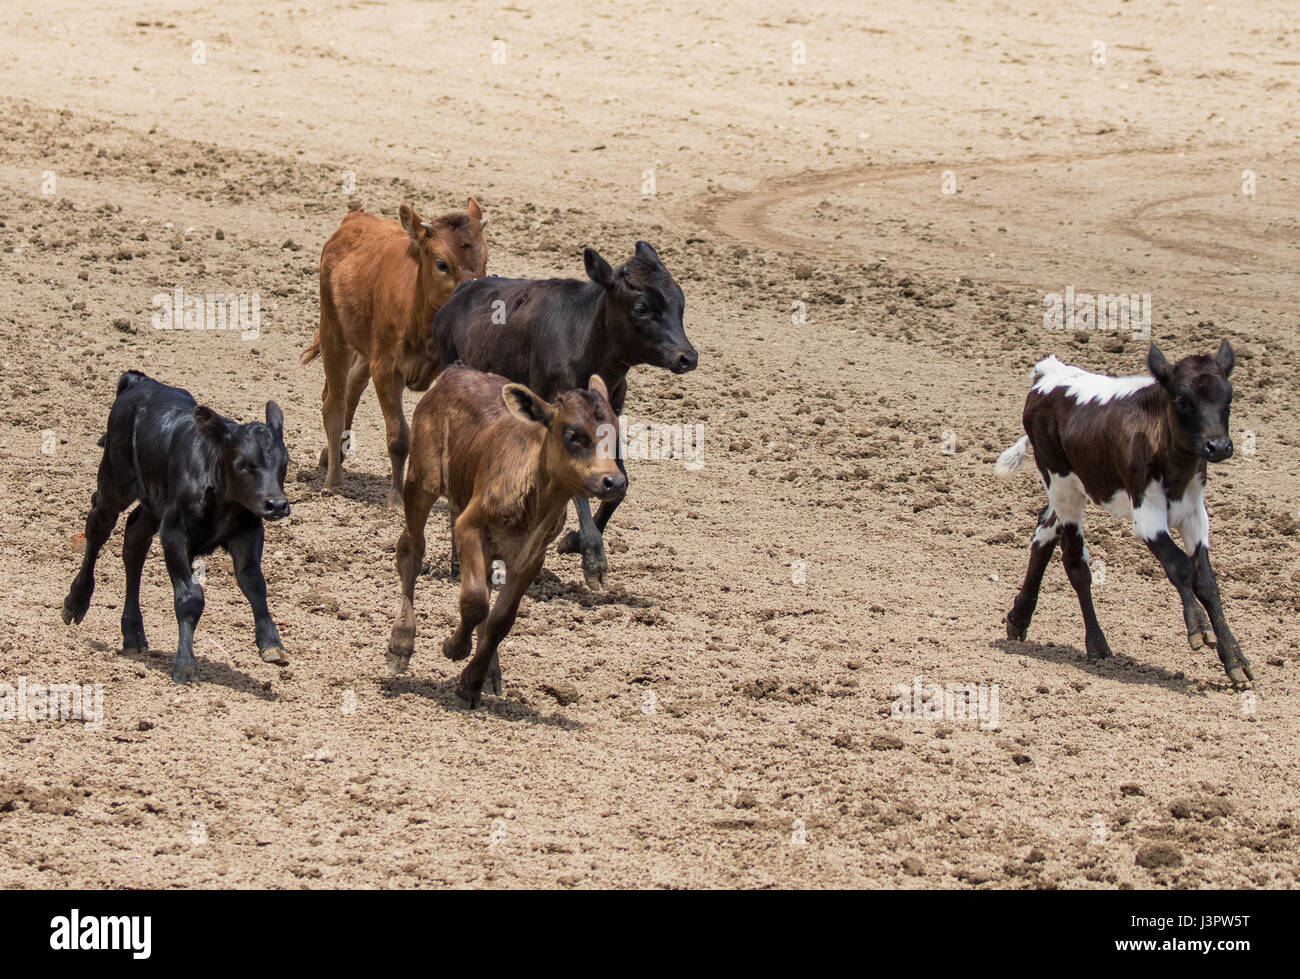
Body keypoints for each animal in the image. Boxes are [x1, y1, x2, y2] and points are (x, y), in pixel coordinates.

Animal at [61, 371, 291, 685]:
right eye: (242, 463)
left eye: (285, 462)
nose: (277, 505)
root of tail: (141, 382)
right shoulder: (174, 532)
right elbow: (190, 597)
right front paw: (185, 664)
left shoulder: (248, 531)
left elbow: (254, 583)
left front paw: (271, 644)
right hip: (114, 480)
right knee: (98, 525)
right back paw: (76, 602)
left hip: (153, 504)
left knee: (134, 543)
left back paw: (133, 634)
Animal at [301, 199, 488, 506]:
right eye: (442, 264)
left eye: (485, 262)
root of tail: (354, 218)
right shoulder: (386, 369)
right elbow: (399, 436)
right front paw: (397, 499)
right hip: (333, 330)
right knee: (334, 403)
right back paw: (334, 480)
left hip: (365, 348)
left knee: (352, 388)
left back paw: (335, 453)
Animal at [386, 364, 626, 708]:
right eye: (573, 435)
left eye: (616, 434)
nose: (614, 481)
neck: (534, 497)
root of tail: (455, 372)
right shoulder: (469, 526)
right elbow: (475, 601)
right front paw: (454, 647)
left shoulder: (531, 557)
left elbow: (500, 619)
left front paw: (471, 682)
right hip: (422, 481)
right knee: (411, 551)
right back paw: (401, 644)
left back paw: (491, 675)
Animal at [430, 240, 696, 590]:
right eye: (641, 308)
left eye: (681, 302)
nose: (687, 356)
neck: (587, 346)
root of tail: (460, 294)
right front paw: (593, 559)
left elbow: (617, 485)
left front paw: (572, 541)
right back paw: (459, 561)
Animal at [995, 340, 1254, 689]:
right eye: (1182, 400)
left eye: (1228, 398)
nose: (1219, 446)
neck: (1173, 461)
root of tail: (1049, 373)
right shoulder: (1147, 516)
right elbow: (1180, 566)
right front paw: (1199, 628)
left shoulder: (1195, 515)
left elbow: (1207, 582)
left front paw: (1235, 660)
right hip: (1061, 482)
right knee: (1076, 565)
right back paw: (1096, 644)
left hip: (1069, 489)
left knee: (1043, 532)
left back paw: (1019, 617)